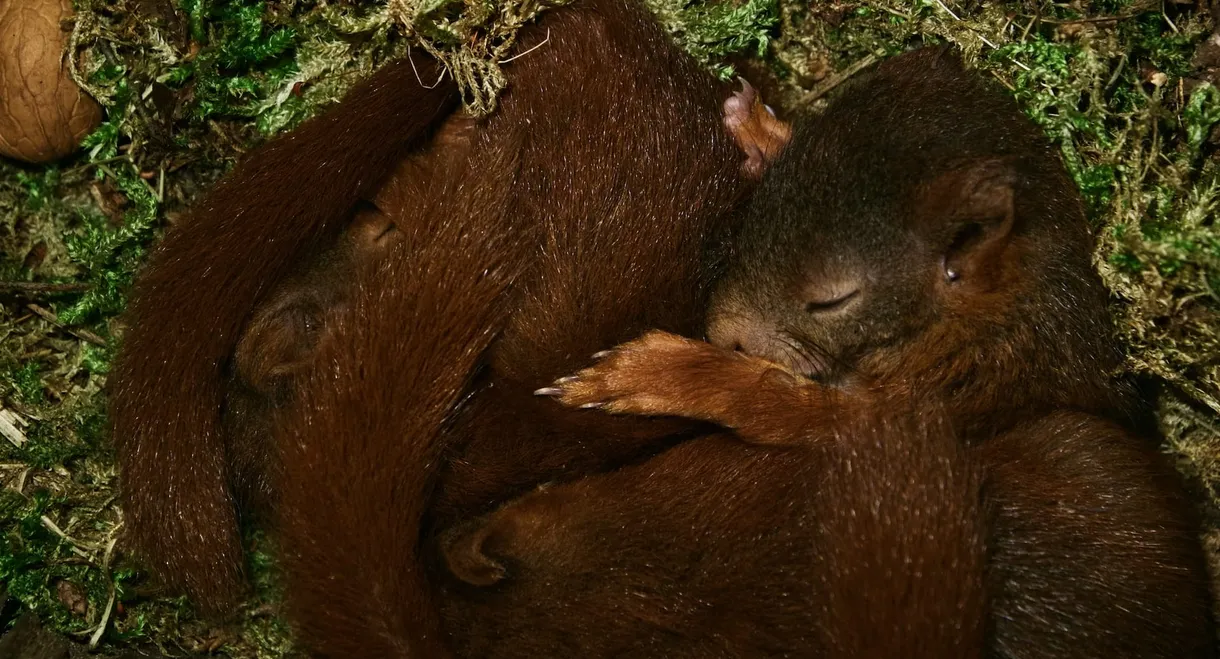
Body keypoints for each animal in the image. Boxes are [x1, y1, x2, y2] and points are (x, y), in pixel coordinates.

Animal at [434, 45, 1215, 654]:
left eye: (832, 299)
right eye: (755, 217)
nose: (721, 330)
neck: (988, 314)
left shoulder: (944, 399)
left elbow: (786, 409)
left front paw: (657, 371)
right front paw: (763, 129)